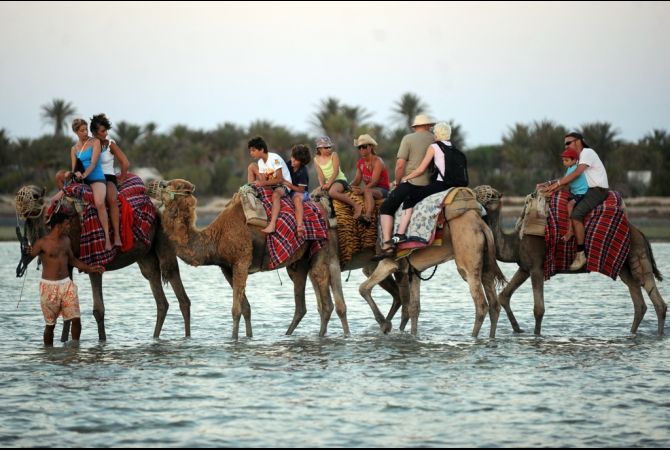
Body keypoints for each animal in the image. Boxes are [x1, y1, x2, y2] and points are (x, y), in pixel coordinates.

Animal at [15, 185, 192, 340]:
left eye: (35, 195)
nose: (21, 204)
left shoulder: (93, 261)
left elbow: (98, 310)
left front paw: (102, 341)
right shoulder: (69, 264)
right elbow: (68, 309)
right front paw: (64, 342)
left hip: (164, 239)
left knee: (177, 287)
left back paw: (187, 338)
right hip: (145, 255)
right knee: (159, 294)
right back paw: (155, 338)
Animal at [150, 178, 344, 340]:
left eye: (174, 186)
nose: (154, 185)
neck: (217, 237)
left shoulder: (241, 261)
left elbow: (236, 310)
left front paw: (233, 339)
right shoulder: (227, 268)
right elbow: (246, 308)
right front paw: (249, 337)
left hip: (321, 249)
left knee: (325, 301)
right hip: (299, 262)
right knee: (301, 305)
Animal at [360, 207, 506, 338]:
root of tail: (482, 226)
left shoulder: (389, 262)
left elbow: (363, 288)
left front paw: (385, 324)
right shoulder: (414, 270)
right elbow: (414, 307)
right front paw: (413, 336)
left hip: (468, 263)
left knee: (481, 305)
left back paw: (473, 338)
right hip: (486, 264)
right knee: (494, 304)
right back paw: (491, 338)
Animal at [476, 185, 668, 336]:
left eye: (490, 194)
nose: (477, 200)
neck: (516, 241)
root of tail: (641, 234)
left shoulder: (537, 267)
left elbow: (539, 309)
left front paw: (536, 336)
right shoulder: (524, 268)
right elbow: (504, 296)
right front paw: (518, 330)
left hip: (637, 255)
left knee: (655, 298)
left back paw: (658, 335)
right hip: (623, 266)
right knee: (639, 301)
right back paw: (632, 334)